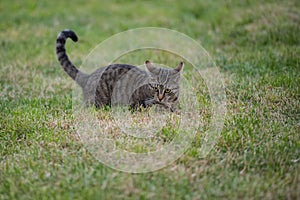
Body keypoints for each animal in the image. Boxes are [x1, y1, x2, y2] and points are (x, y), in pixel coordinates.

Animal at [55, 29, 183, 111]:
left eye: (167, 90)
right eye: (155, 88)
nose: (160, 98)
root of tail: (89, 76)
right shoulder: (137, 103)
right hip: (98, 103)